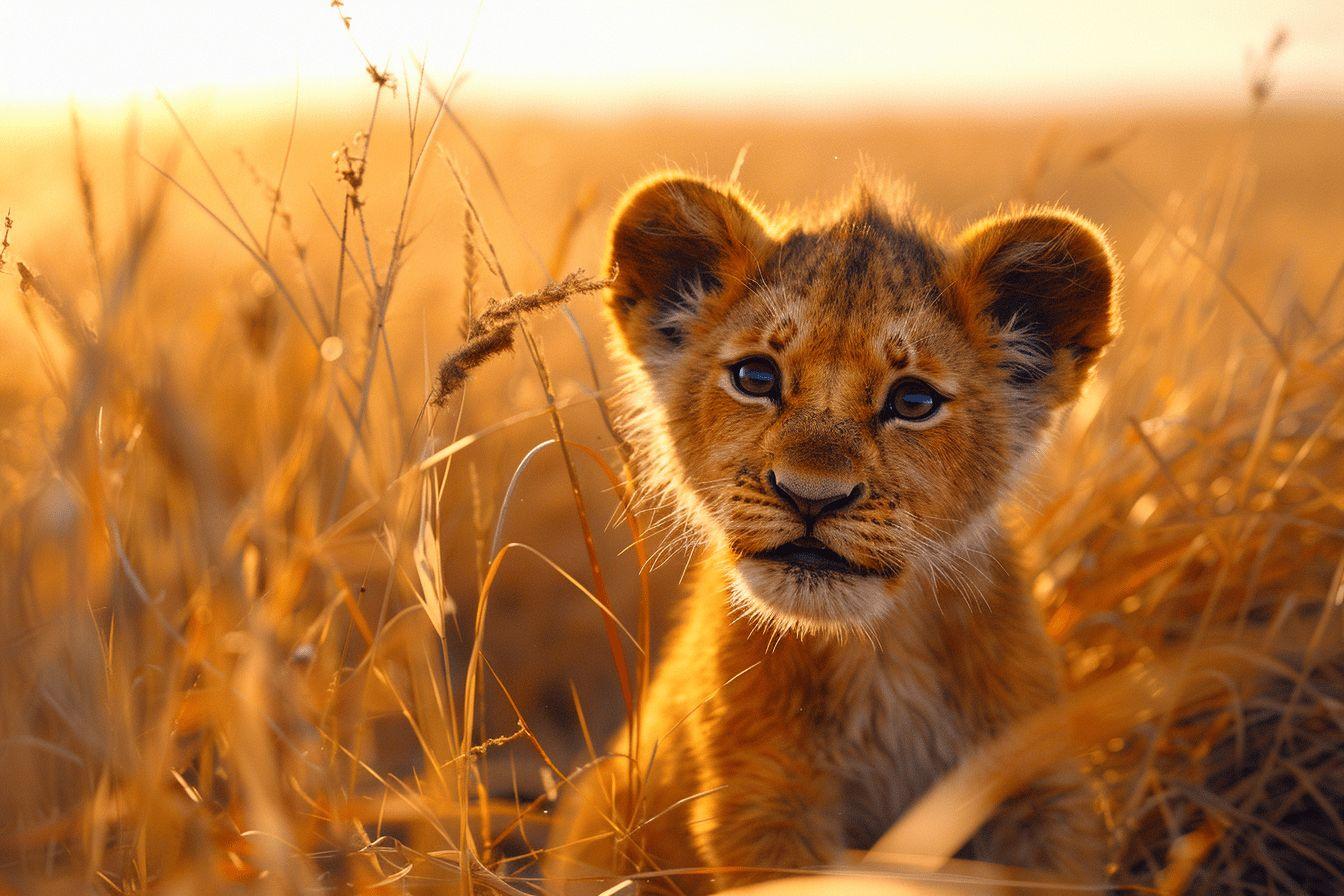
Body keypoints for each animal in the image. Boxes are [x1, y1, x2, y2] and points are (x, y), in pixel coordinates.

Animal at [544, 172, 1120, 894]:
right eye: (756, 377)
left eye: (913, 401)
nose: (809, 496)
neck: (879, 656)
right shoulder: (762, 797)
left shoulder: (1037, 789)